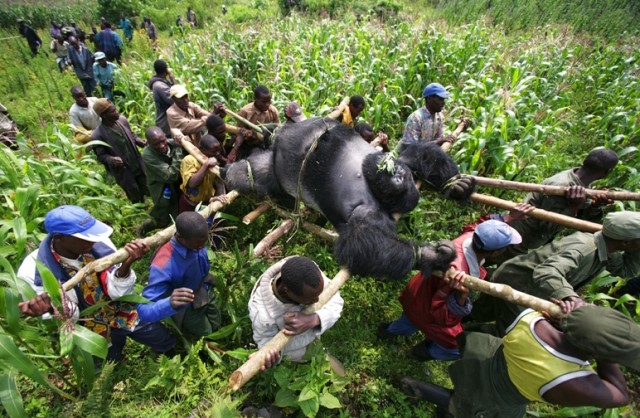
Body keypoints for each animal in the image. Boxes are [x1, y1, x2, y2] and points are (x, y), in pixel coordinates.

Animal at [222, 117, 472, 280]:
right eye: (400, 177)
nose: (397, 175)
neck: (368, 176)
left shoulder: (377, 197)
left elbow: (359, 240)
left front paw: (457, 186)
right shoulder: (389, 170)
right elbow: (359, 241)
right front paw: (430, 254)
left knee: (254, 173)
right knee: (253, 168)